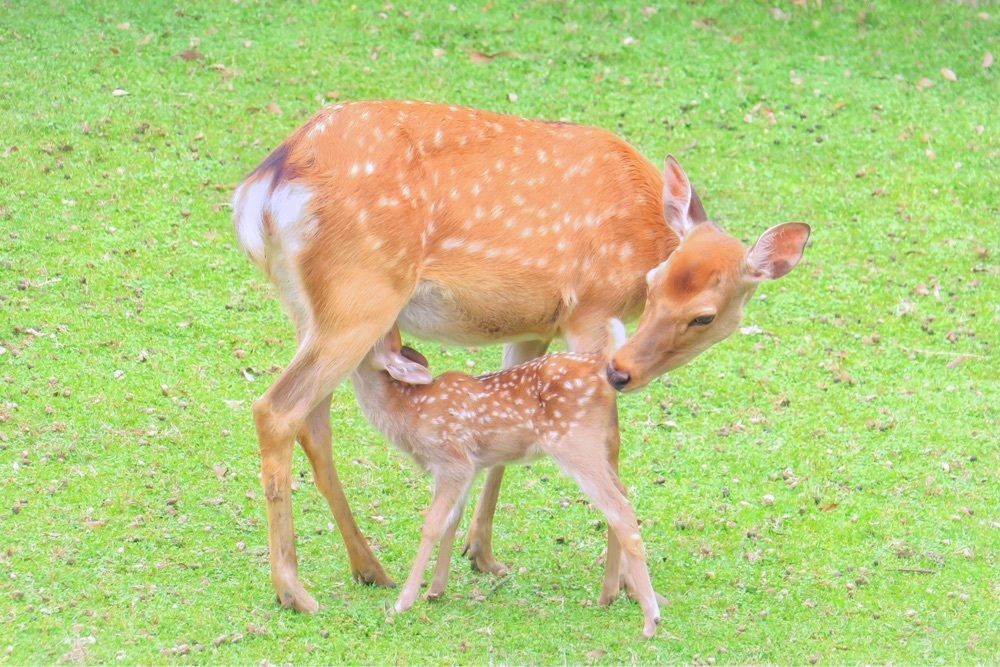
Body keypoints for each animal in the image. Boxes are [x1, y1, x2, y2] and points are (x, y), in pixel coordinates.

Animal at [352, 320, 665, 637]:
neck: (409, 411)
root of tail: (599, 365)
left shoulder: (452, 460)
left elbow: (432, 525)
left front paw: (403, 601)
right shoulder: (471, 465)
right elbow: (453, 520)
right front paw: (435, 589)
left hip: (575, 443)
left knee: (620, 510)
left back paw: (650, 620)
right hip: (602, 446)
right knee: (621, 497)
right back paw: (608, 596)